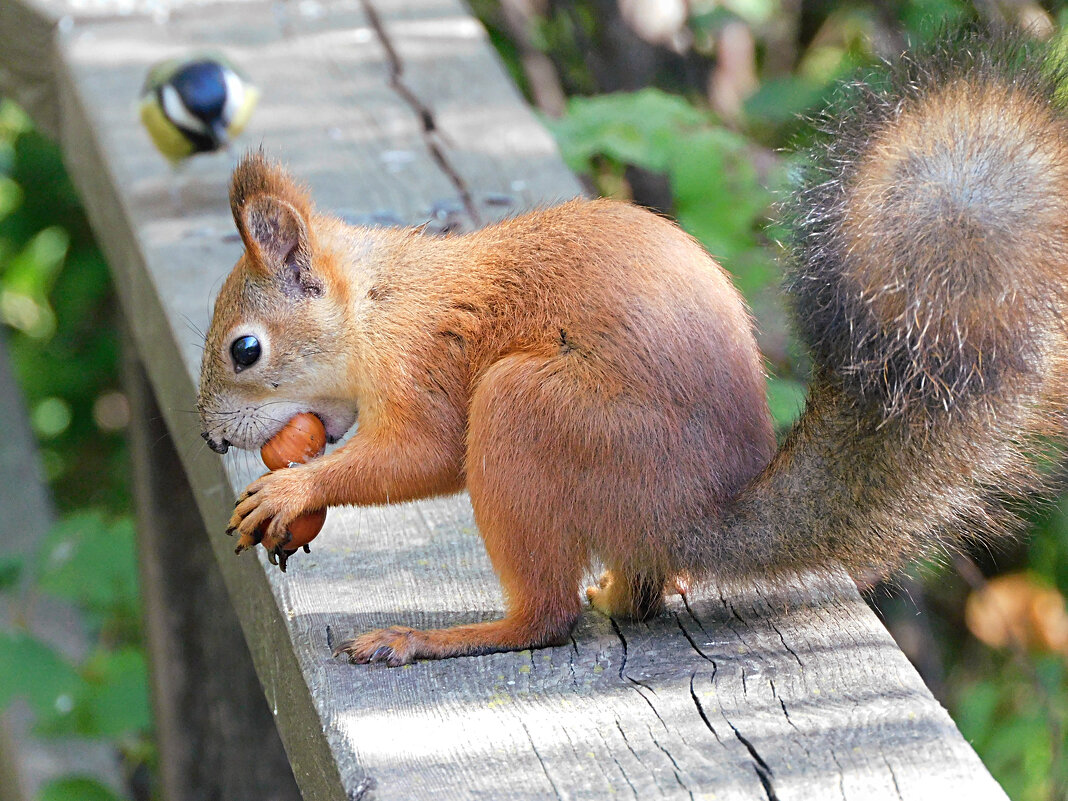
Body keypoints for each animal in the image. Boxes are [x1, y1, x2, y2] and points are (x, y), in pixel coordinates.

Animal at [196, 28, 1068, 666]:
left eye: (246, 350)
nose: (209, 436)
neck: (376, 303)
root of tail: (699, 514)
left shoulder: (422, 360)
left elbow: (428, 452)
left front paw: (293, 487)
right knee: (627, 593)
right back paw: (618, 591)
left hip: (539, 415)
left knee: (545, 617)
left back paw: (440, 635)